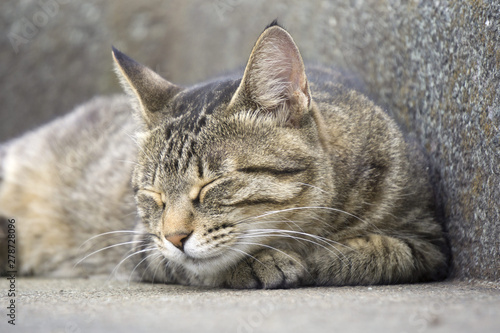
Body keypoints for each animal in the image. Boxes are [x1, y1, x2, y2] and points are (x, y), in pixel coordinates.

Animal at [0, 22, 448, 286]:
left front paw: (311, 256)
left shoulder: (429, 241)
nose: (175, 236)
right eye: (153, 195)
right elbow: (195, 264)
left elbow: (378, 251)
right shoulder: (143, 244)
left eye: (213, 183)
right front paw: (263, 262)